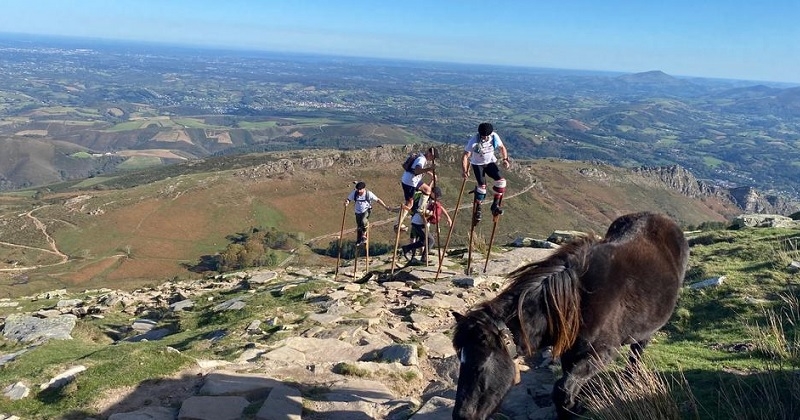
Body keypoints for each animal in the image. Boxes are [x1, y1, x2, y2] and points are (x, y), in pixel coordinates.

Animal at [454, 213, 692, 420]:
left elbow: (562, 389)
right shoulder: (571, 352)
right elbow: (568, 383)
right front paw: (577, 403)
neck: (579, 299)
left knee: (636, 353)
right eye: (460, 361)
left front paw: (574, 409)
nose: (461, 416)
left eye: (478, 367)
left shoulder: (603, 352)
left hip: (644, 333)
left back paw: (630, 379)